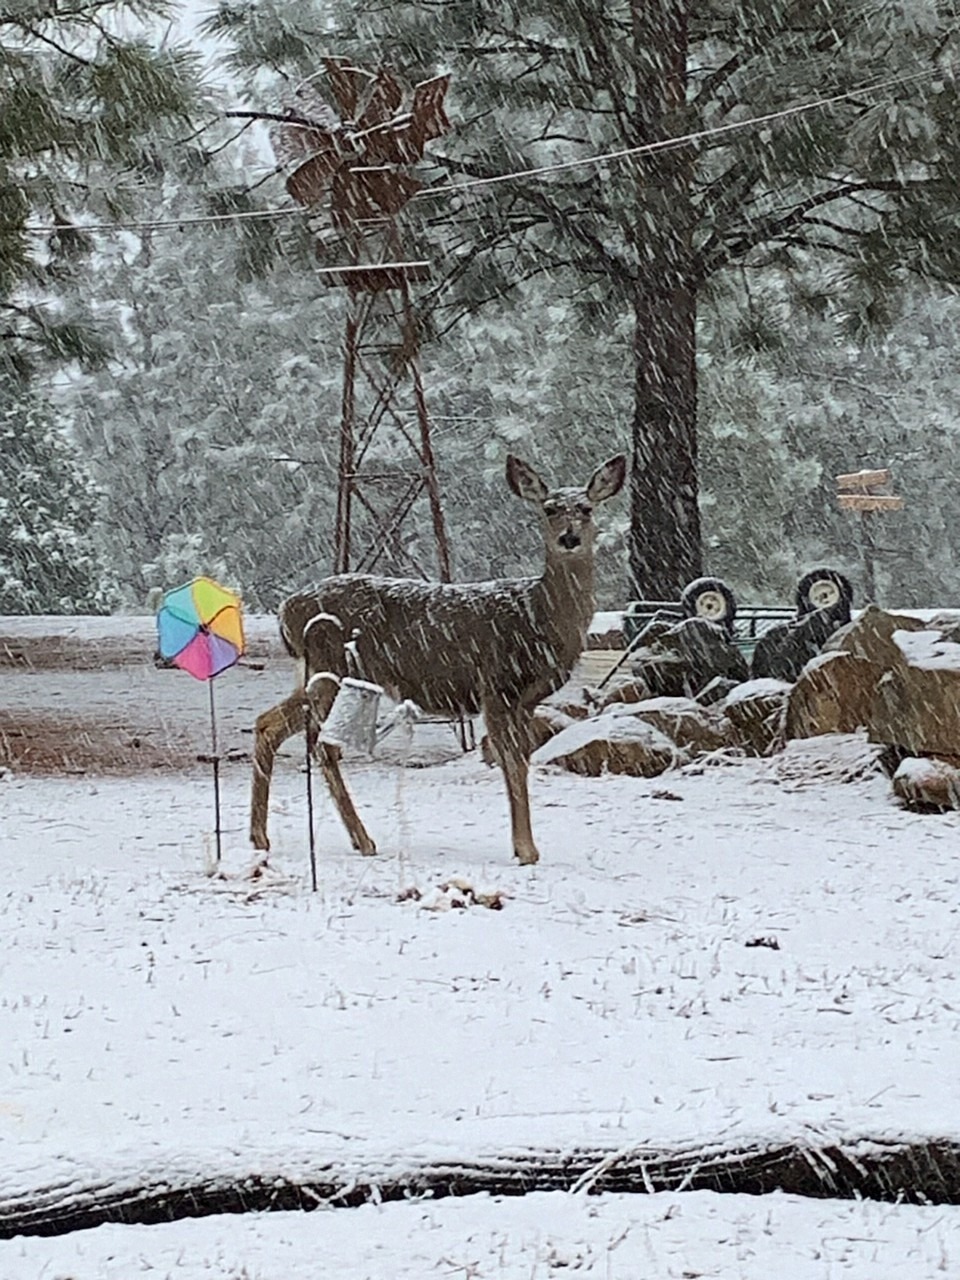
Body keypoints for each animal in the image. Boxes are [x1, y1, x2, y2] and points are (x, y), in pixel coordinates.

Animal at [250, 452, 626, 865]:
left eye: (586, 508)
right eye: (549, 508)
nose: (569, 538)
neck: (536, 614)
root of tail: (286, 610)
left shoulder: (526, 699)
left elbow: (522, 760)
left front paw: (525, 846)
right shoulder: (496, 685)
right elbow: (512, 762)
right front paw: (526, 849)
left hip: (318, 673)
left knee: (268, 724)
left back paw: (261, 838)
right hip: (333, 665)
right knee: (323, 744)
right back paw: (362, 840)